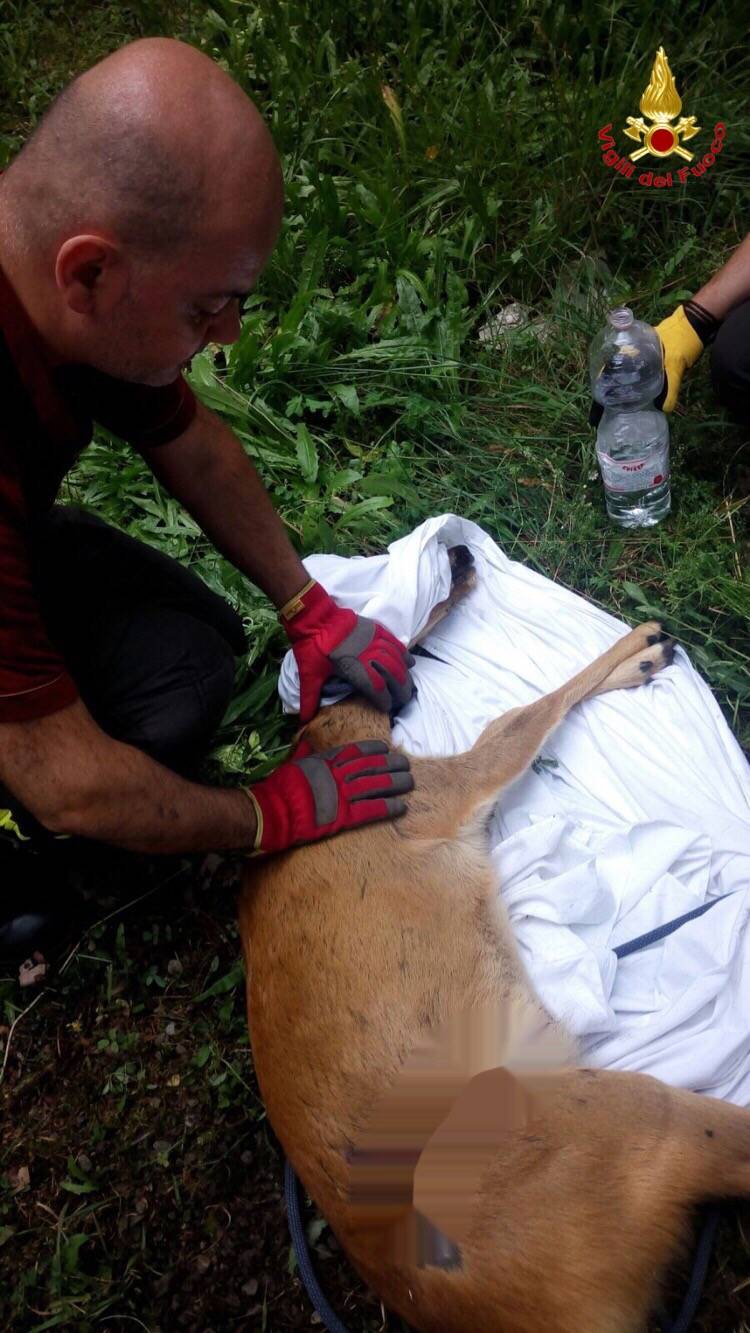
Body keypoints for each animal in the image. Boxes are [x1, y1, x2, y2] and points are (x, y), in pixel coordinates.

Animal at [239, 549, 746, 1333]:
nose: (459, 553)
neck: (326, 741)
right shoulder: (443, 789)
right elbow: (527, 714)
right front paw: (639, 645)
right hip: (625, 1116)